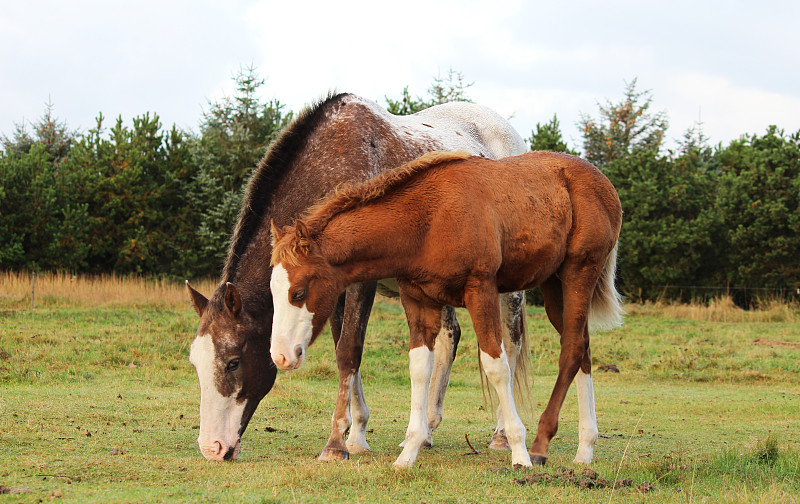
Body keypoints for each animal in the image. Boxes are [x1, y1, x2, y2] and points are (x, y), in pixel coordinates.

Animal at [184, 92, 528, 462]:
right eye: (195, 363)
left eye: (233, 362)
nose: (212, 448)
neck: (331, 165)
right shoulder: (331, 288)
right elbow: (344, 350)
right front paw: (357, 435)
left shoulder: (361, 282)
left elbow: (349, 350)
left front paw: (335, 443)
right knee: (448, 339)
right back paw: (426, 431)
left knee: (509, 345)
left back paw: (501, 436)